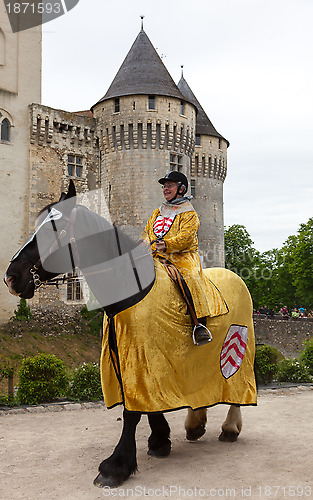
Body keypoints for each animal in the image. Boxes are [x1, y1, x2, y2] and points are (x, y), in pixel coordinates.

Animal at [4, 181, 256, 488]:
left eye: (54, 228)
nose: (11, 277)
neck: (129, 286)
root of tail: (236, 277)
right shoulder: (125, 355)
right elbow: (142, 402)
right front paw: (160, 440)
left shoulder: (141, 355)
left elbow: (131, 411)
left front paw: (116, 465)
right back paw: (195, 424)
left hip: (240, 344)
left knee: (237, 385)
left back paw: (230, 427)